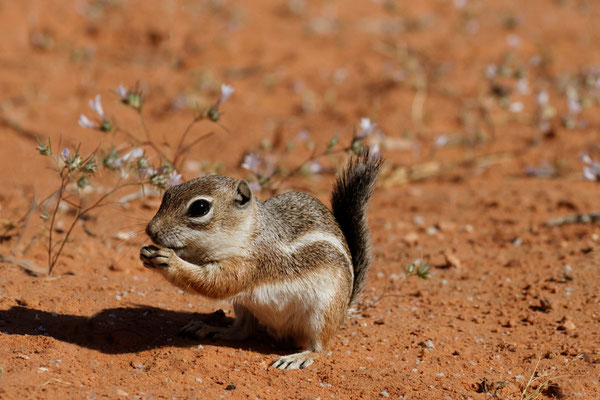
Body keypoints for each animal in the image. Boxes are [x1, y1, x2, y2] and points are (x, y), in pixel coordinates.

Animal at [141, 152, 382, 370]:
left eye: (200, 208)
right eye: (167, 193)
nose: (150, 230)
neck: (248, 231)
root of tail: (344, 309)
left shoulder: (251, 264)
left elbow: (216, 284)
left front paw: (169, 260)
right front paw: (147, 254)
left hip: (323, 312)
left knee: (320, 347)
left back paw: (299, 357)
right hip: (244, 306)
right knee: (242, 331)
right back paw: (211, 329)